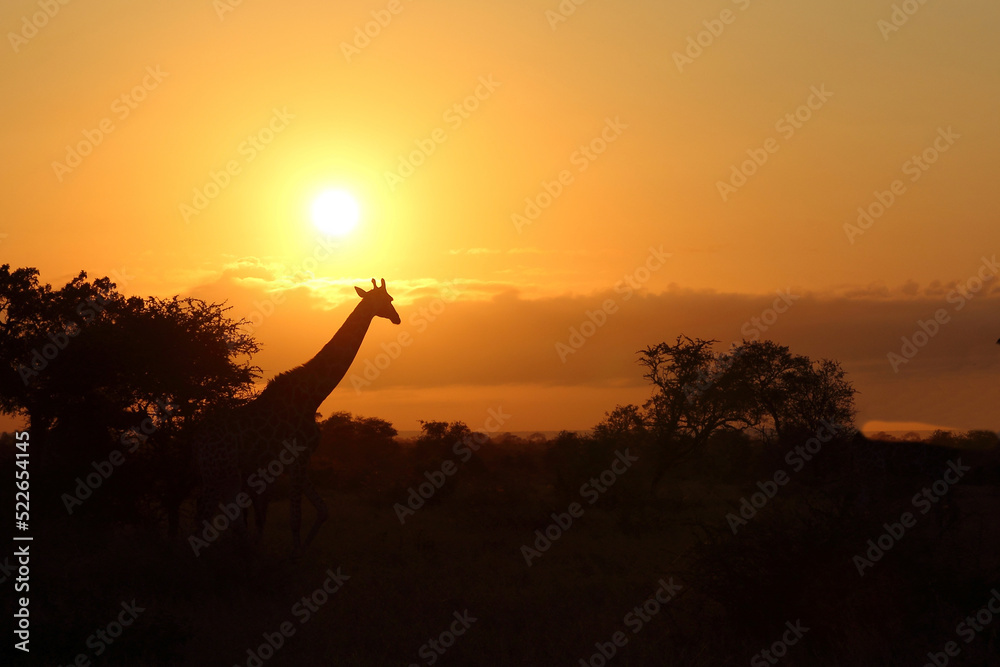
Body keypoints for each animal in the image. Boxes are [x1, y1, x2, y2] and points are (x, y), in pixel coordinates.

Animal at [195, 280, 398, 552]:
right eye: (388, 300)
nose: (397, 318)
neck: (313, 396)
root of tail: (198, 438)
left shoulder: (297, 460)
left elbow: (323, 509)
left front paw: (301, 549)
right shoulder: (297, 456)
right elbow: (295, 517)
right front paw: (294, 555)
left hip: (227, 473)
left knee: (229, 517)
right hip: (215, 470)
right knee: (204, 515)